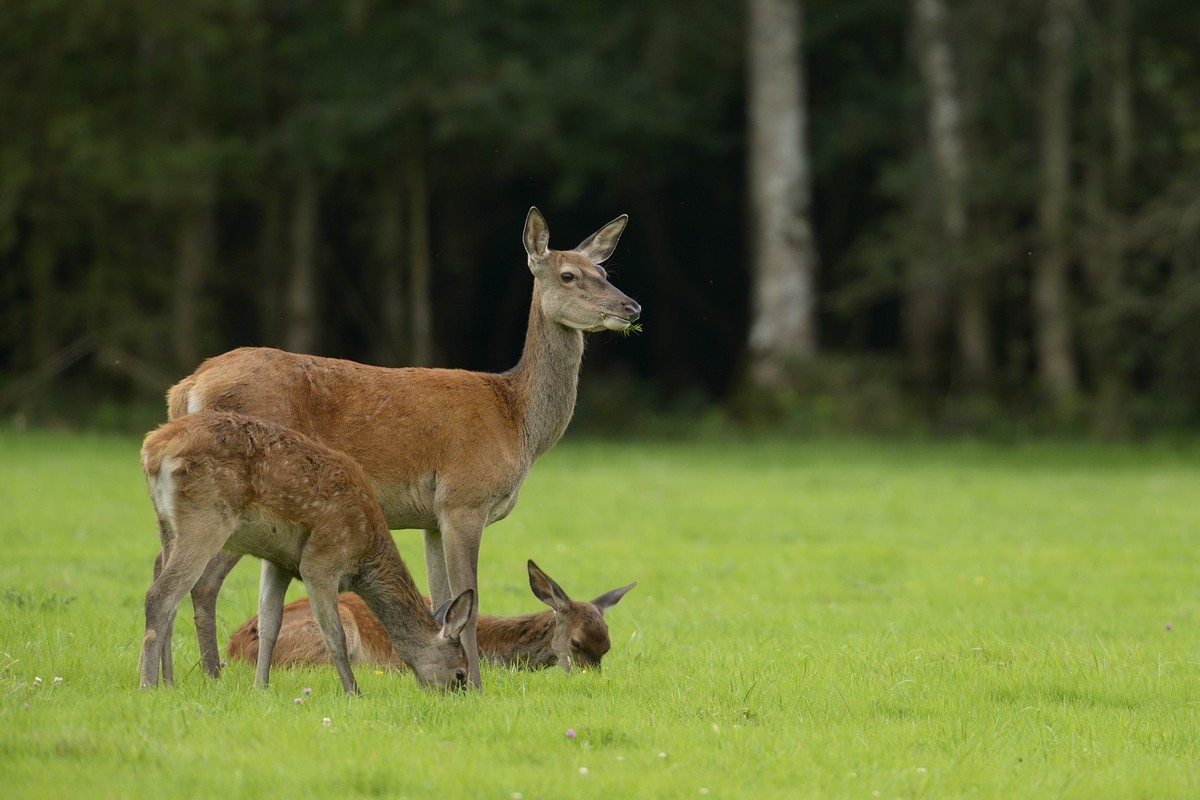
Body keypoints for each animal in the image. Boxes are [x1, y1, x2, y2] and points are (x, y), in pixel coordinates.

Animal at [139, 412, 472, 695]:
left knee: (168, 593)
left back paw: (168, 681)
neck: (364, 552)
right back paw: (148, 685)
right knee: (161, 594)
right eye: (460, 673)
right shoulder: (321, 559)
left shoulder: (279, 562)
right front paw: (354, 692)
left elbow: (269, 626)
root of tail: (153, 448)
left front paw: (260, 688)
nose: (457, 698)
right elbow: (334, 634)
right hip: (206, 516)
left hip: (166, 525)